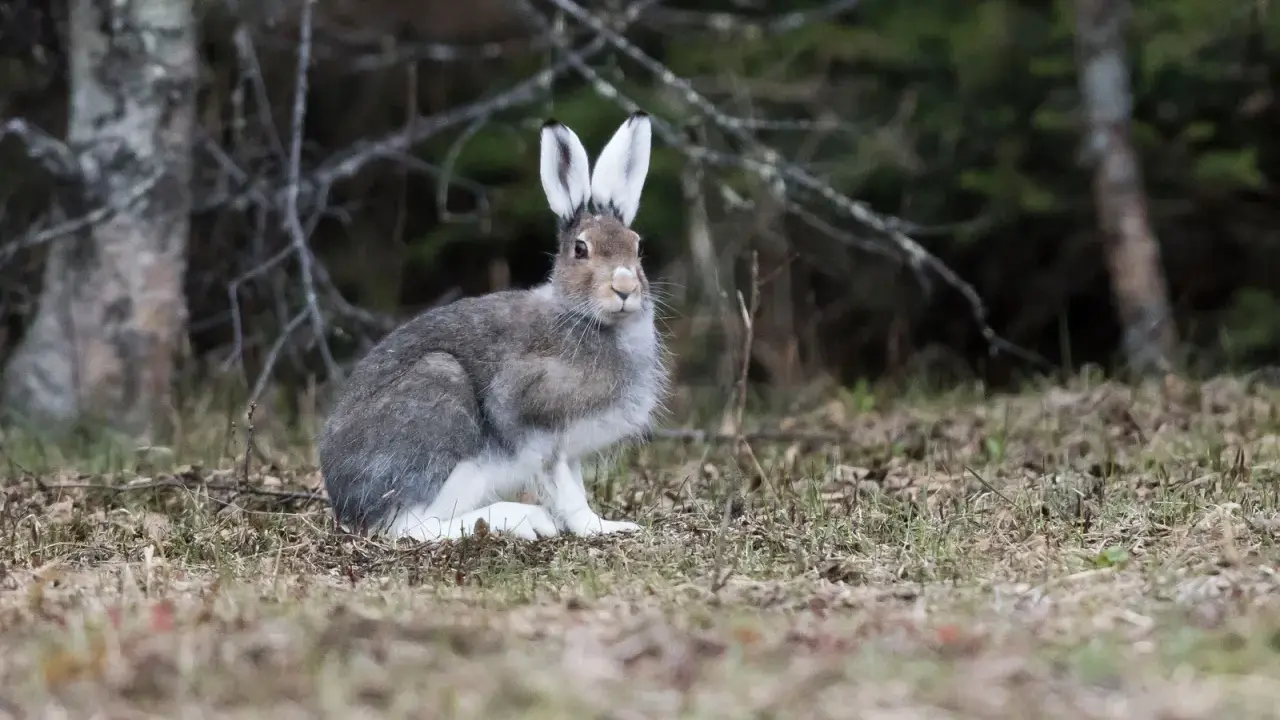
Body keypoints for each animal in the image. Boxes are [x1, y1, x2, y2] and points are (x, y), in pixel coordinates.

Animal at [318, 111, 667, 542]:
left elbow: (573, 485)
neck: (583, 319)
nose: (624, 288)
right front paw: (596, 528)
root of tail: (346, 503)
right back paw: (521, 519)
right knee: (411, 525)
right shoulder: (536, 426)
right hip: (438, 401)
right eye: (580, 249)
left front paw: (607, 524)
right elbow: (568, 492)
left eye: (637, 246)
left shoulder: (567, 450)